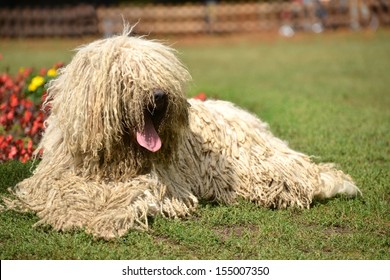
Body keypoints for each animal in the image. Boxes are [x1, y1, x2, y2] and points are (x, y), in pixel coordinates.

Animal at [3, 27, 360, 238]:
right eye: (125, 76)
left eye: (160, 72)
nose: (160, 96)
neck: (116, 159)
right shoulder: (54, 175)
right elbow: (61, 189)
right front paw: (73, 209)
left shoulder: (156, 181)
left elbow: (129, 195)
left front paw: (101, 215)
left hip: (256, 166)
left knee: (303, 176)